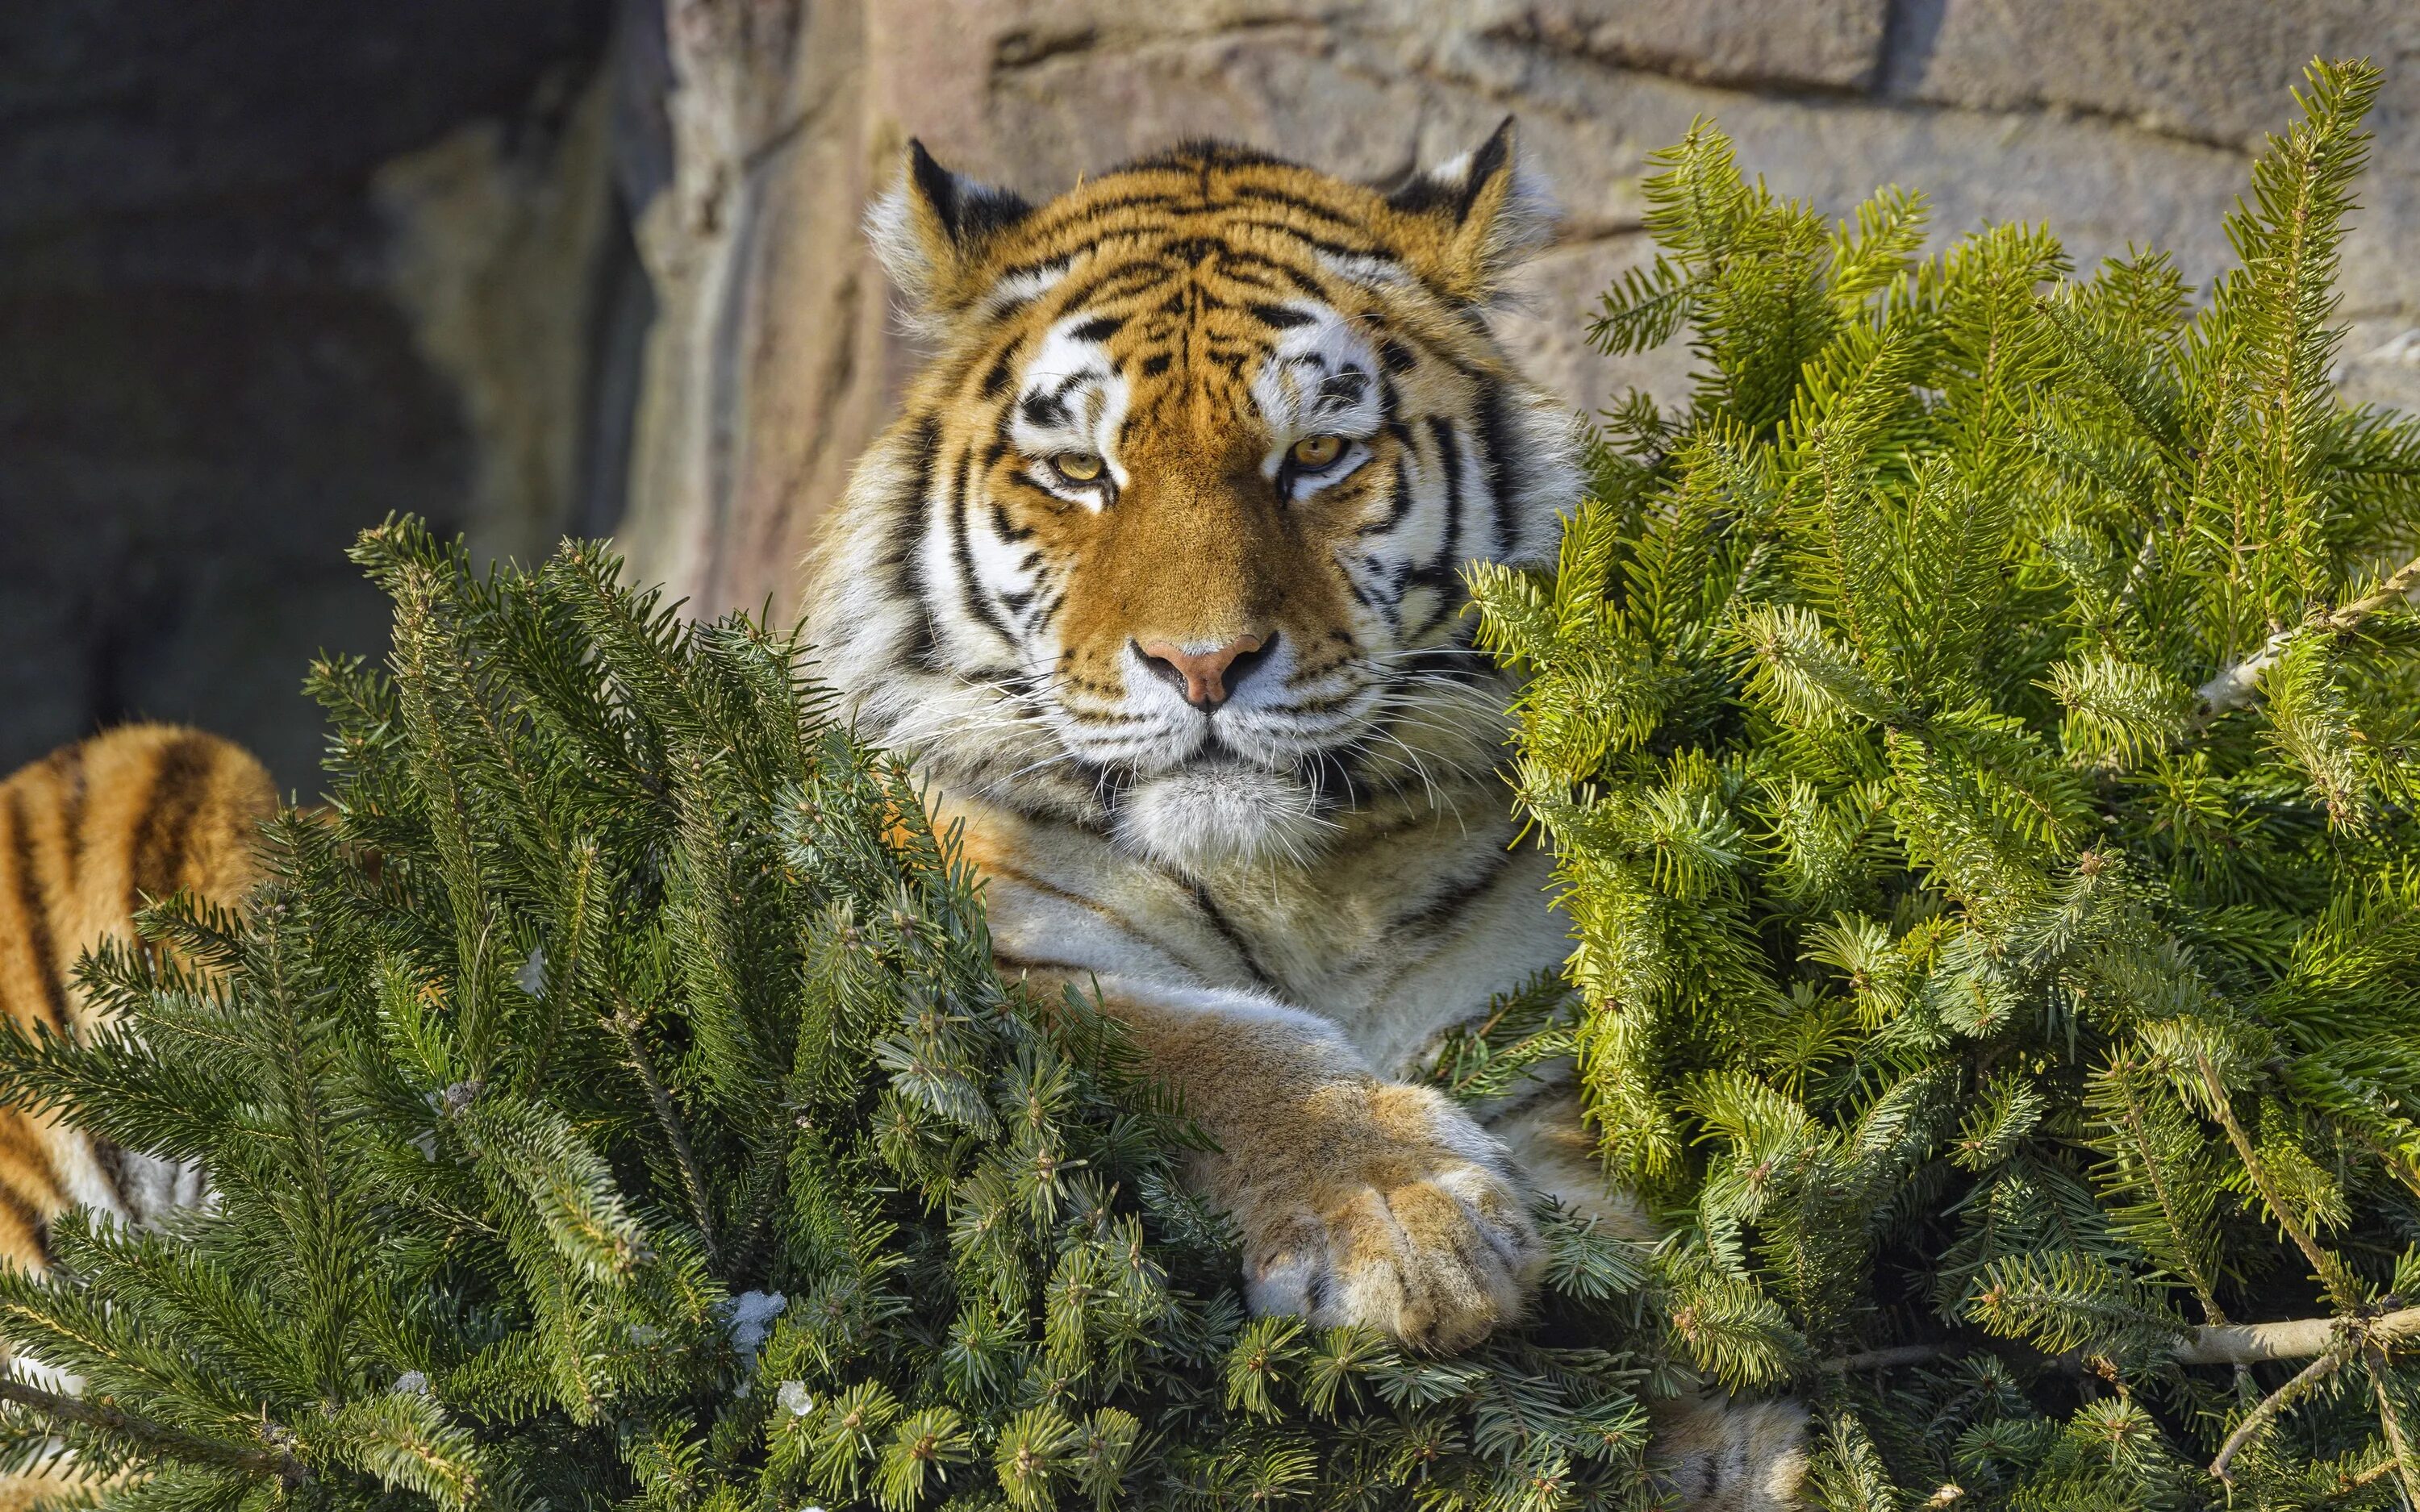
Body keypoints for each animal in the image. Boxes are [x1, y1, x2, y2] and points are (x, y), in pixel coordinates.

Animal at [803, 123, 1810, 1500]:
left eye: (1319, 457)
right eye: (1079, 471)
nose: (1203, 663)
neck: (1298, 880)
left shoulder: (1530, 1006)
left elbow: (1623, 1213)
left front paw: (1730, 1429)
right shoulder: (960, 943)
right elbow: (1190, 1041)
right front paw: (1404, 1220)